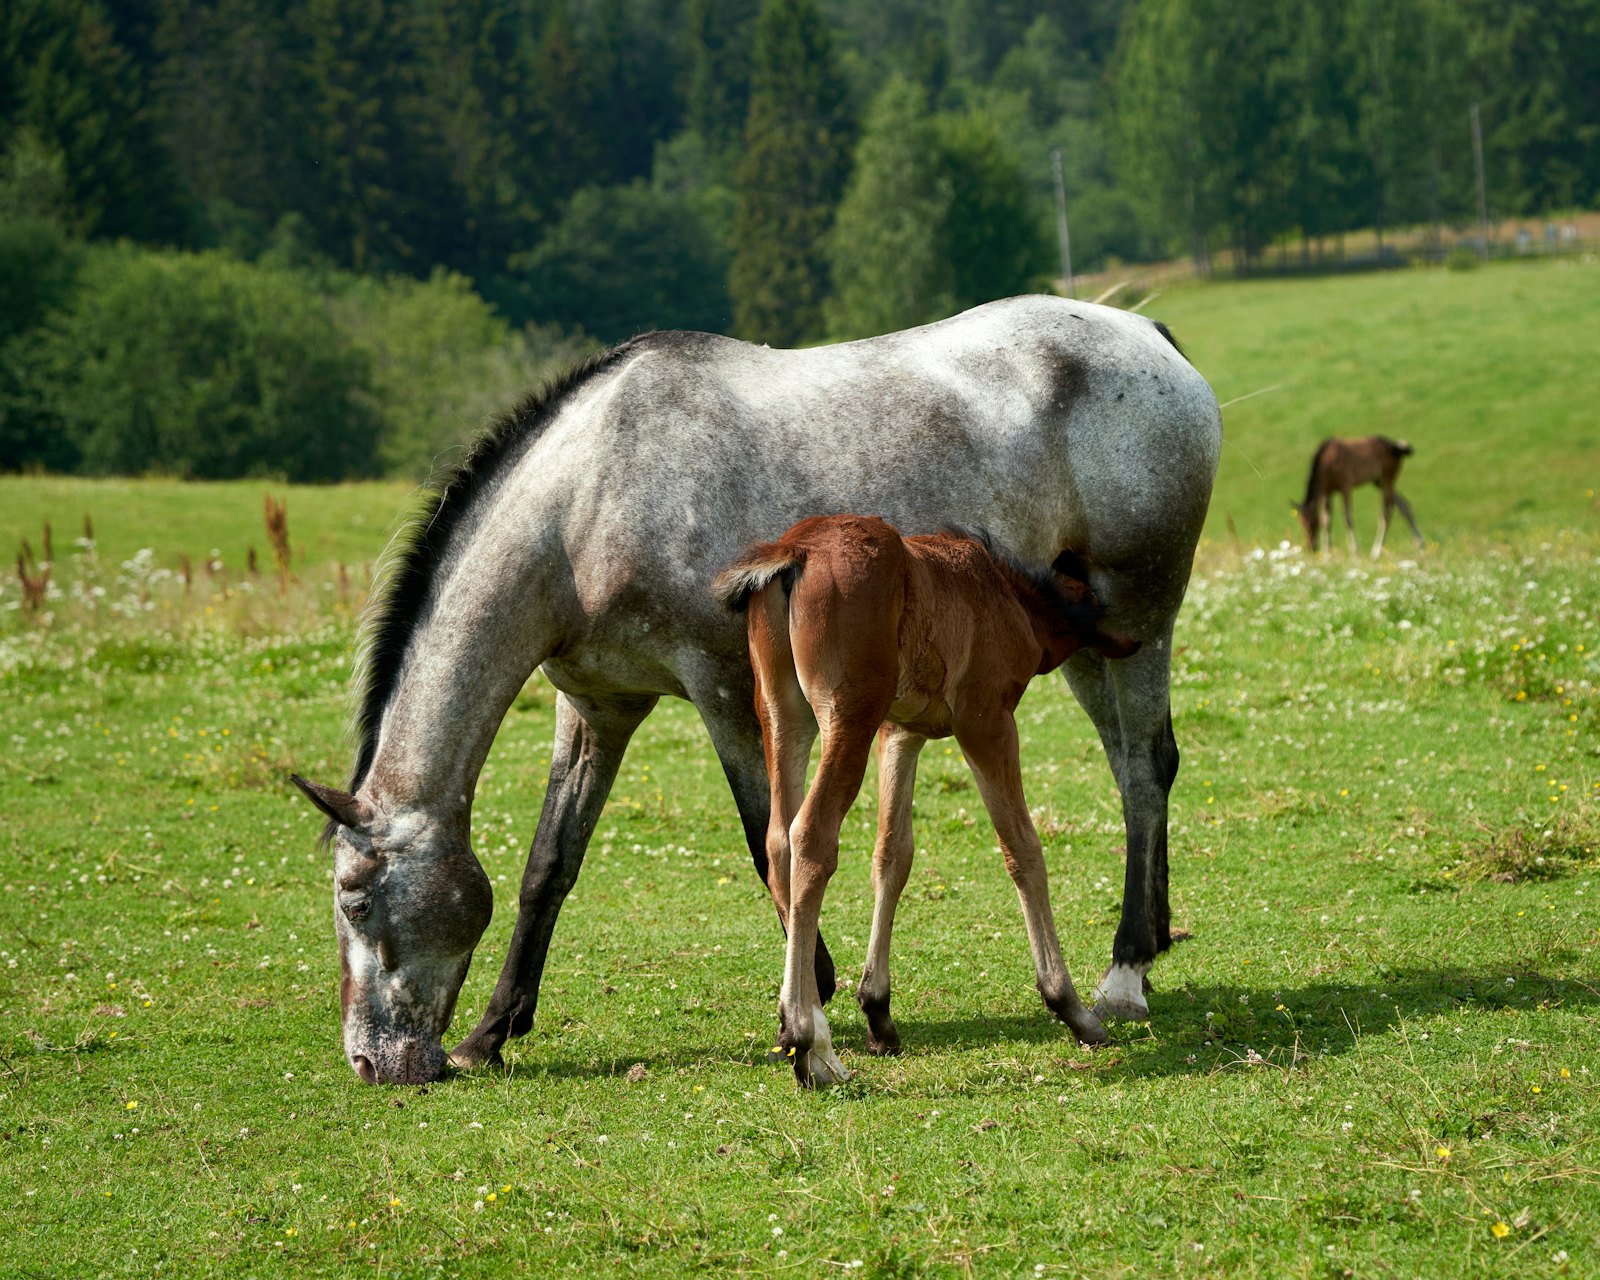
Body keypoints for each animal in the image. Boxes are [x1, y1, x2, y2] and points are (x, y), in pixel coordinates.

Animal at [715, 515, 1140, 1086]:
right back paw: (810, 1042)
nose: (1134, 638)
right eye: (1092, 593)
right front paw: (1072, 1008)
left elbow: (893, 855)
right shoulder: (986, 722)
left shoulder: (900, 732)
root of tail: (796, 549)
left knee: (779, 839)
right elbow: (1022, 848)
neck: (1003, 594)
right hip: (847, 719)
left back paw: (805, 1031)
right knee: (811, 835)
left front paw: (878, 1013)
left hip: (784, 716)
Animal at [1293, 435, 1423, 557]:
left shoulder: (1346, 487)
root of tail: (1395, 447)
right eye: (1301, 523)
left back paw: (1375, 552)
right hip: (1378, 481)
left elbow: (1347, 519)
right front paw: (1327, 555)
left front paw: (1355, 554)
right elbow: (1326, 521)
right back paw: (1420, 543)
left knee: (1386, 513)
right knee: (1404, 505)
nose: (1311, 548)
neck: (1328, 462)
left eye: (1313, 523)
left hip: (1386, 480)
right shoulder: (1326, 493)